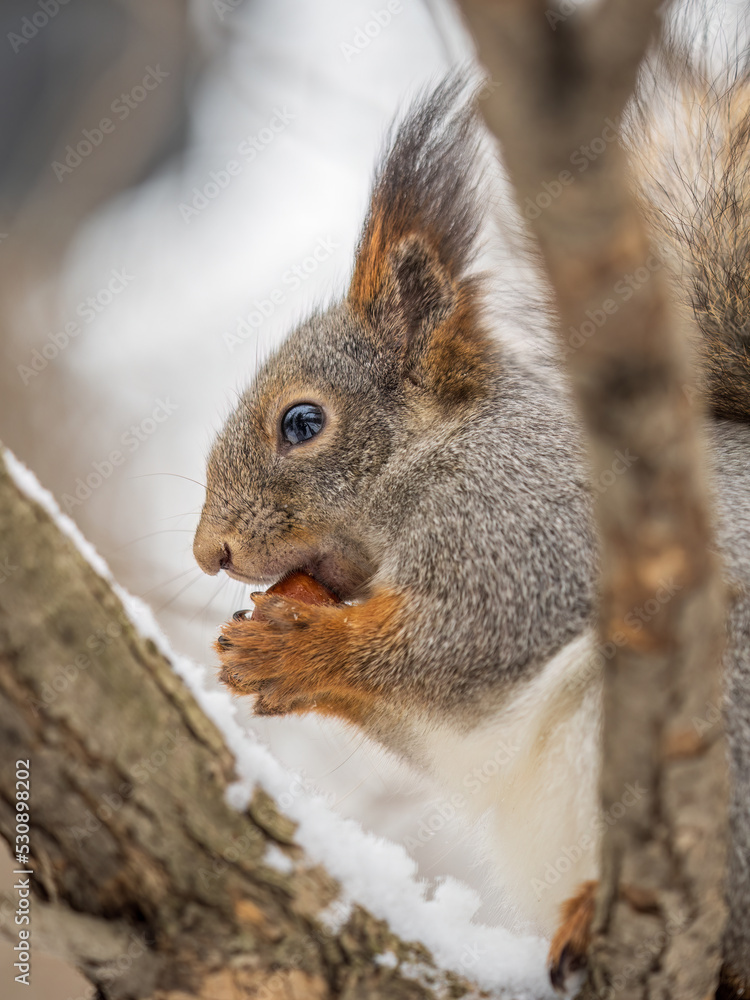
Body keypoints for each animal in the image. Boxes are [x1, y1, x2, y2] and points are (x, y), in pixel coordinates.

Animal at [192, 34, 750, 998]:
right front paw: (263, 661)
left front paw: (300, 647)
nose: (207, 551)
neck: (440, 455)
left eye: (302, 423)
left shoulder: (524, 532)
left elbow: (461, 640)